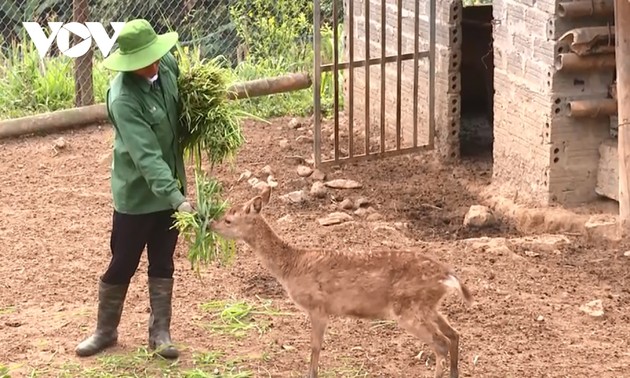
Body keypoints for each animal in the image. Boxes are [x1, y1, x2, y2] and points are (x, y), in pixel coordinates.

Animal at [210, 185, 476, 376]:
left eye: (228, 220)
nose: (211, 224)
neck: (291, 266)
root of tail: (448, 276)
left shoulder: (318, 305)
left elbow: (315, 347)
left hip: (408, 307)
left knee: (441, 343)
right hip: (427, 305)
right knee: (454, 335)